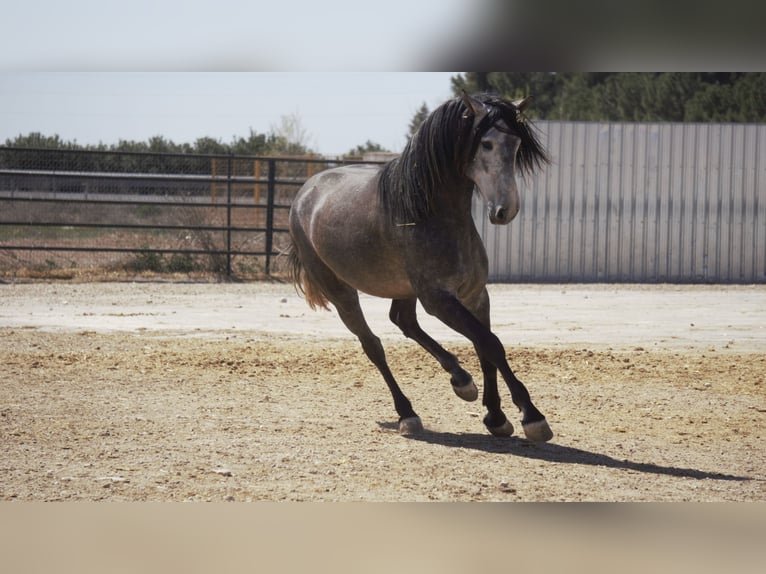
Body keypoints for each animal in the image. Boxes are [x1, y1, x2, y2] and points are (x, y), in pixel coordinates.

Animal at [284, 91, 556, 440]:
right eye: (486, 144)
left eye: (517, 144)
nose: (504, 210)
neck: (431, 213)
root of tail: (305, 193)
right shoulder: (439, 300)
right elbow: (491, 344)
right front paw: (532, 416)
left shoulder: (475, 295)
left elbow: (484, 346)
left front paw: (495, 416)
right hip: (340, 291)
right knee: (373, 345)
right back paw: (407, 413)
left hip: (403, 288)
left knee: (403, 321)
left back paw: (461, 380)